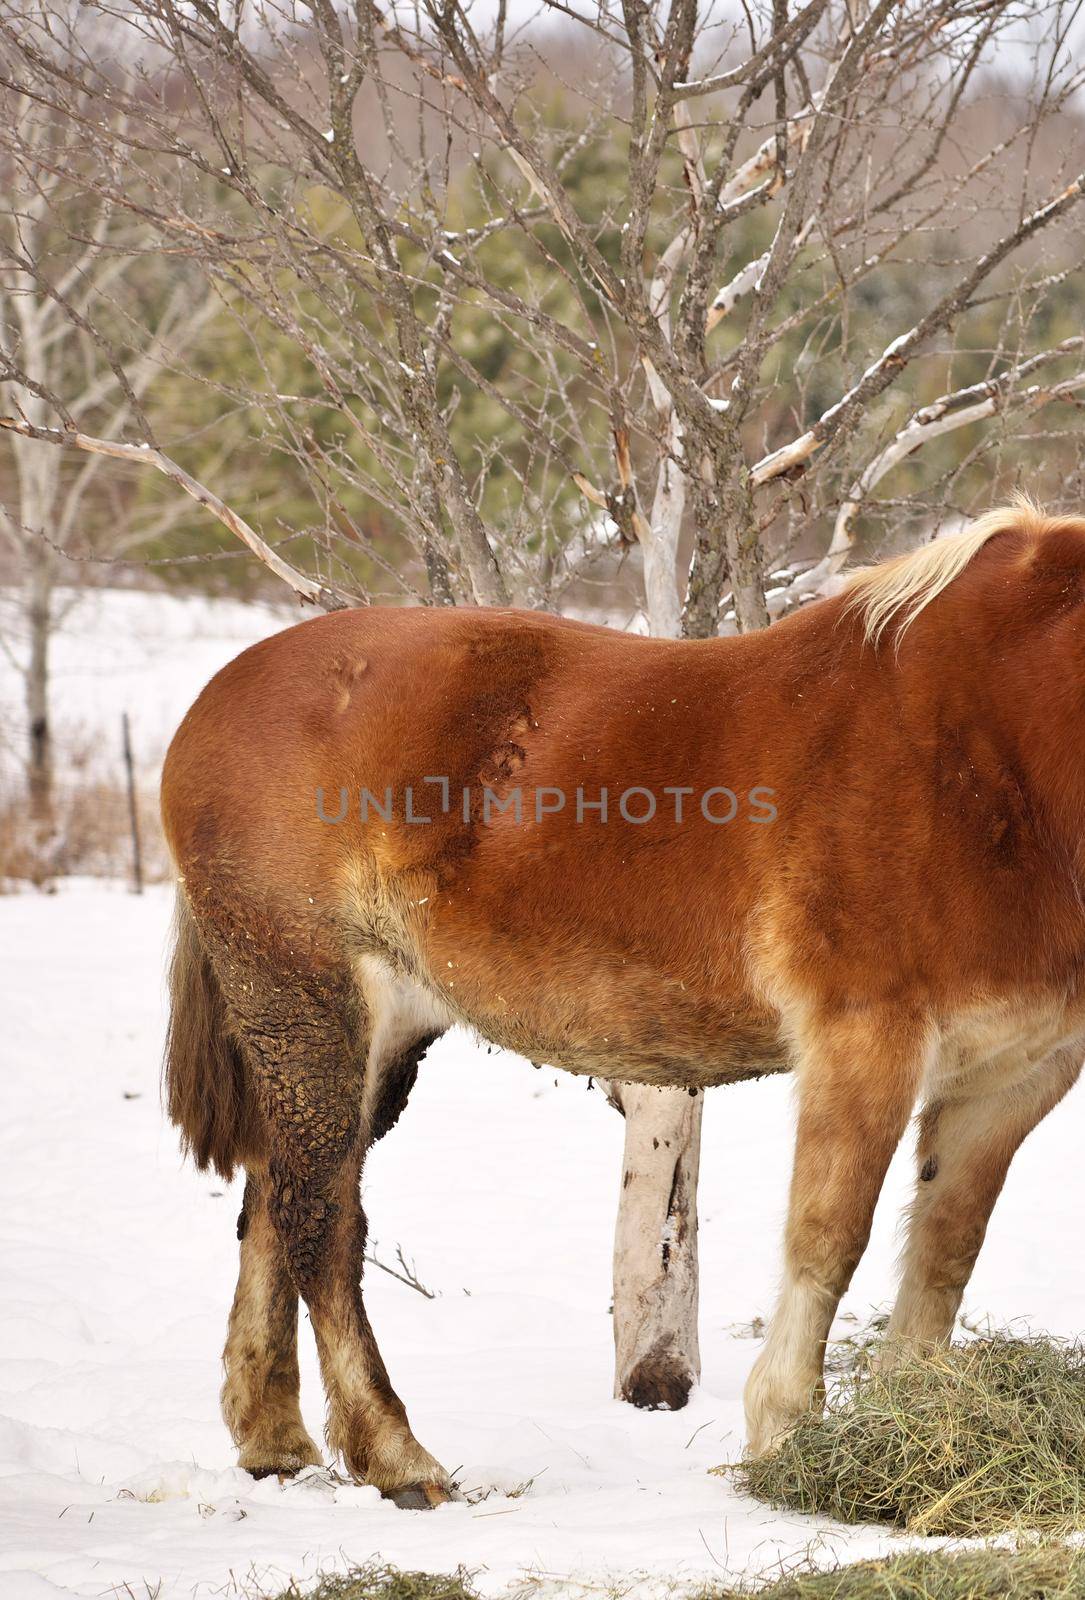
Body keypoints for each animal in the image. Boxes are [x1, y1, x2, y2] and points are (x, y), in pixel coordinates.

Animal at [159, 505, 1085, 1504]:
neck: (993, 747)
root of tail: (217, 699)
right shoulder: (865, 1040)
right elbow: (828, 1236)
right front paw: (784, 1433)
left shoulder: (1016, 1073)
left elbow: (946, 1245)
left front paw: (919, 1425)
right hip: (308, 1002)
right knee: (320, 1222)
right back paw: (396, 1455)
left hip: (368, 1033)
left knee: (273, 1200)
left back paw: (274, 1442)